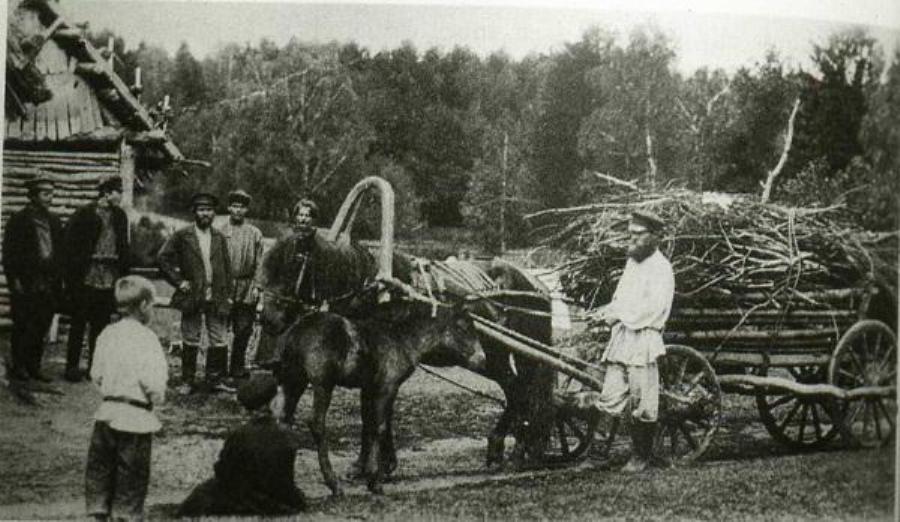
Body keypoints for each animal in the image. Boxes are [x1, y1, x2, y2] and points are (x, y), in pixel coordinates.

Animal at [275, 297, 485, 496]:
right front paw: (375, 480)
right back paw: (333, 484)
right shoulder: (387, 387)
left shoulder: (370, 388)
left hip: (295, 381)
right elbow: (380, 426)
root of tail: (296, 332)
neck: (399, 337)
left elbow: (369, 424)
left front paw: (370, 470)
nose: (482, 359)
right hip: (323, 385)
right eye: (462, 327)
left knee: (285, 422)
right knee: (316, 424)